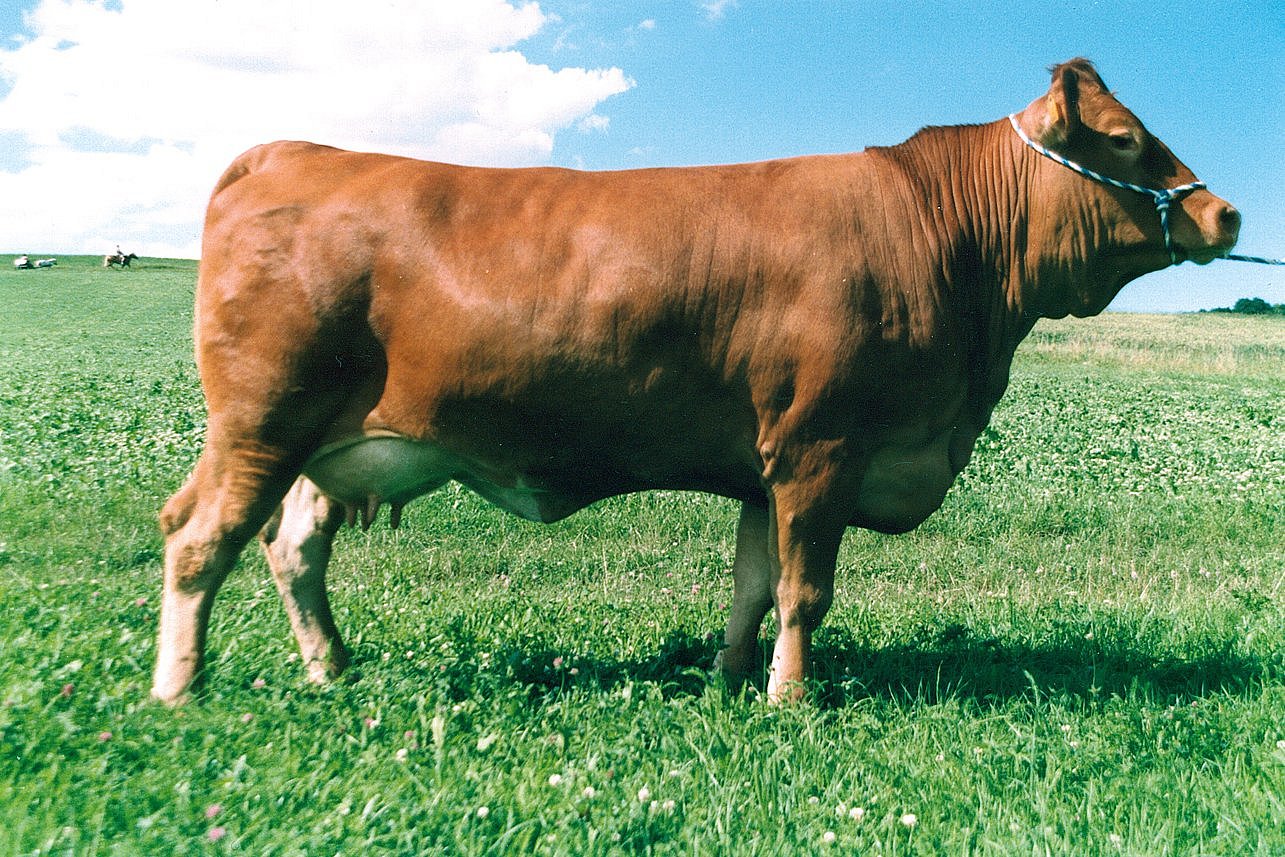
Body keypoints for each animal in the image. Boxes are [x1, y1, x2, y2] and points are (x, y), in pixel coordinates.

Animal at [147, 58, 1233, 704]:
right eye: (1125, 139)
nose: (1222, 213)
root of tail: (293, 150)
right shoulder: (821, 445)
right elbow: (805, 587)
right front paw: (793, 696)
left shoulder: (767, 464)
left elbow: (754, 582)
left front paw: (733, 674)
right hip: (262, 420)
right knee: (200, 537)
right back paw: (180, 688)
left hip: (331, 444)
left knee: (292, 549)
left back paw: (330, 666)